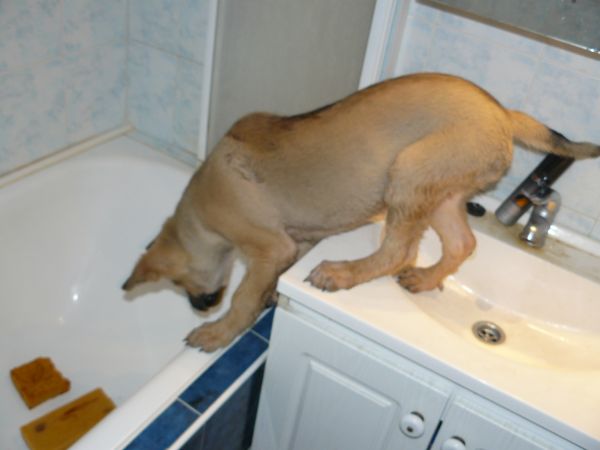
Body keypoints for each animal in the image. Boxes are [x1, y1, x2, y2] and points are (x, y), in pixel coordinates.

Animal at [122, 73, 600, 351]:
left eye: (177, 283)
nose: (200, 306)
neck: (203, 206)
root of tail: (504, 112)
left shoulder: (270, 245)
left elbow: (242, 295)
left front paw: (219, 332)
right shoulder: (297, 239)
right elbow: (268, 282)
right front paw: (268, 298)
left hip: (409, 170)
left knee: (398, 251)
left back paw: (342, 273)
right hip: (443, 190)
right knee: (459, 243)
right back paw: (426, 278)